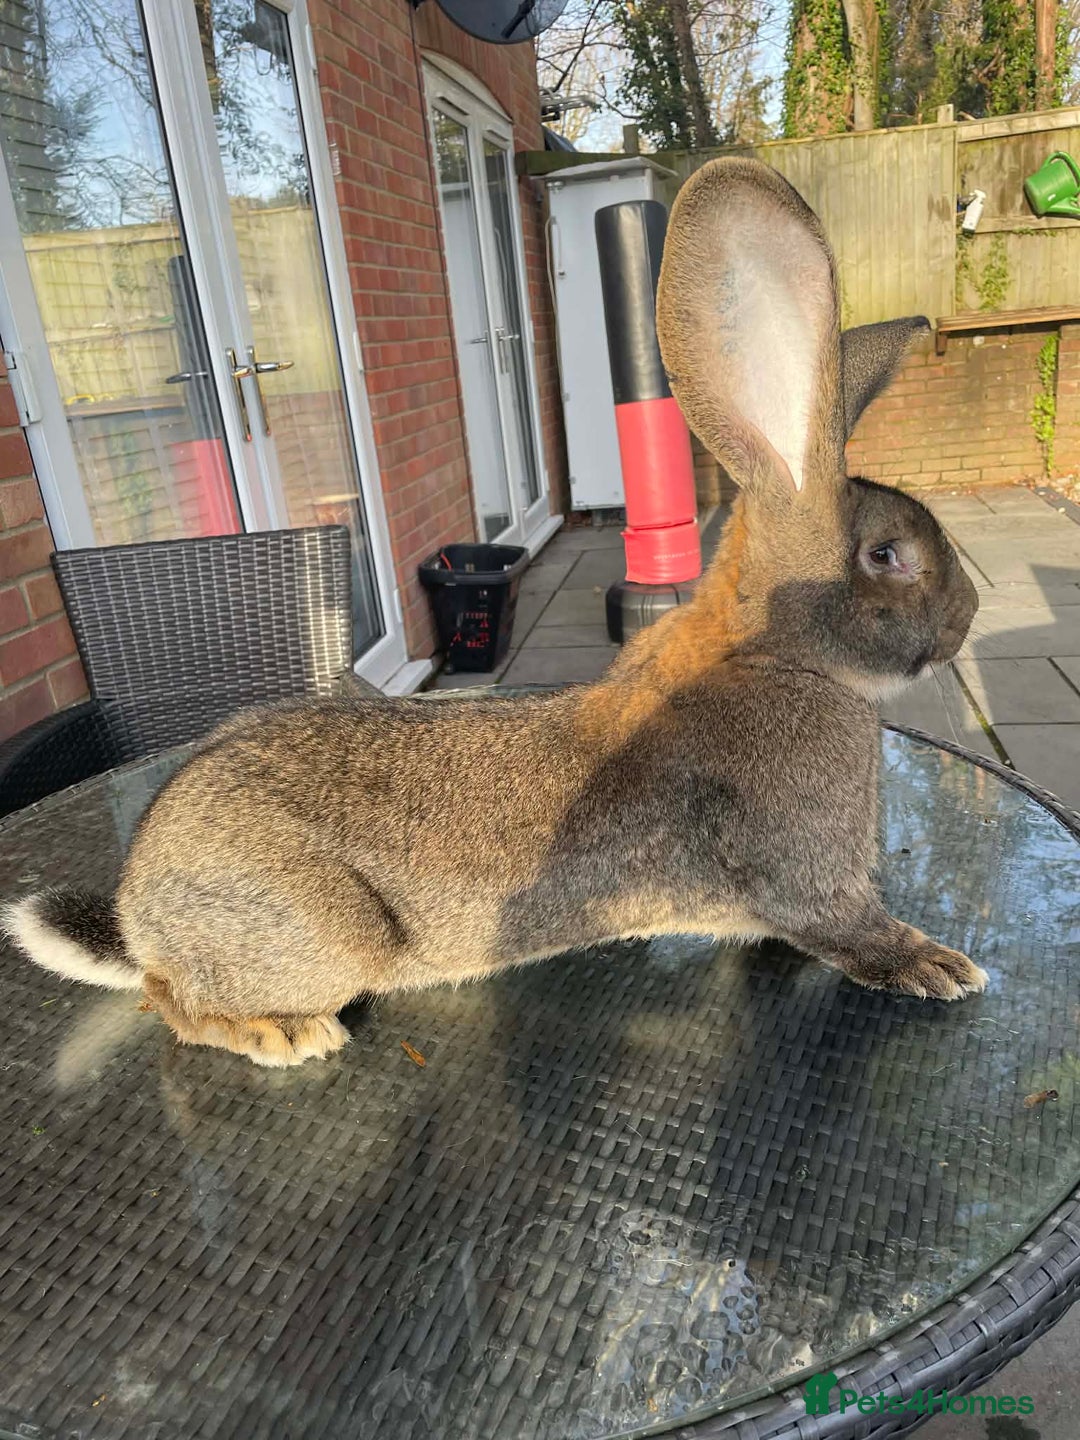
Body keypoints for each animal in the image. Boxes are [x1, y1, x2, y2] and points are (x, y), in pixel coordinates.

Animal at [3, 158, 984, 1068]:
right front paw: (940, 966)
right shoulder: (812, 884)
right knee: (167, 997)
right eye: (887, 556)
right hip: (321, 940)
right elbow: (851, 933)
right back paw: (283, 1034)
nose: (970, 618)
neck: (777, 648)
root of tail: (139, 907)